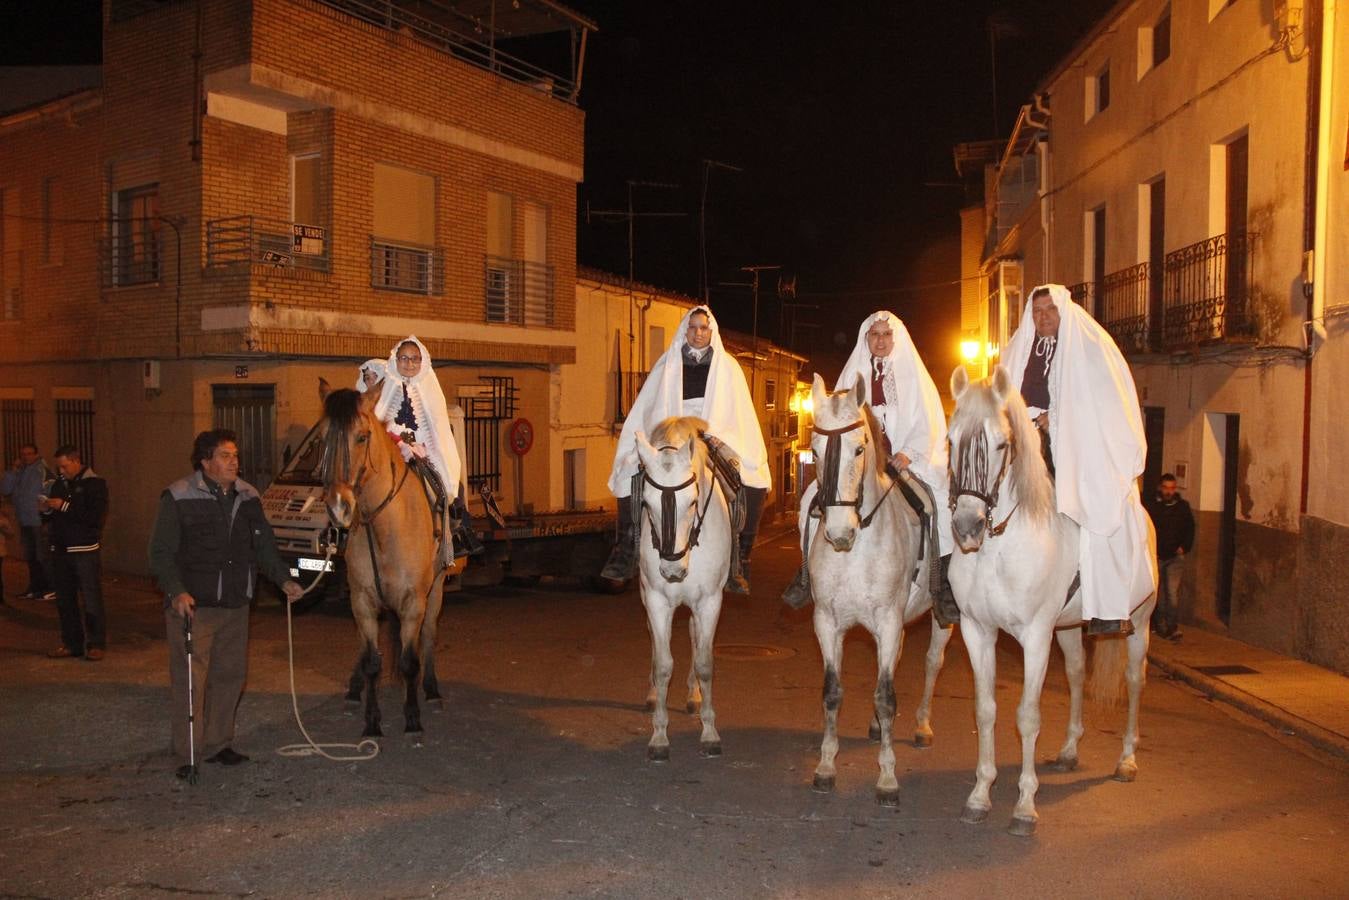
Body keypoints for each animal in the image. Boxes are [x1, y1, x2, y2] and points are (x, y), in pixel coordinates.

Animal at [319, 383, 447, 734]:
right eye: (322, 439)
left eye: (362, 437)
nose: (338, 507)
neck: (385, 529)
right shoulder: (362, 601)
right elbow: (372, 661)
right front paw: (372, 721)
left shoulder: (414, 601)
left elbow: (409, 661)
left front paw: (413, 718)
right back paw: (354, 689)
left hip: (437, 588)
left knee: (429, 635)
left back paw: (431, 689)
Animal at [634, 418, 733, 766]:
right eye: (646, 503)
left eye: (692, 501)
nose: (672, 570)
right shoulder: (656, 600)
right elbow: (664, 665)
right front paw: (659, 736)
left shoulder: (710, 601)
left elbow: (705, 663)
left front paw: (710, 733)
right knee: (654, 638)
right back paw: (653, 693)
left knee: (692, 634)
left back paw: (693, 695)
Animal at [804, 372, 955, 804]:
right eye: (815, 451)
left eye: (858, 449)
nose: (839, 533)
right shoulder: (828, 622)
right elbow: (832, 691)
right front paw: (826, 766)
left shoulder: (888, 621)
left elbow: (887, 696)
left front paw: (887, 778)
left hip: (938, 620)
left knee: (931, 662)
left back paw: (921, 727)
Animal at [949, 367, 1160, 836]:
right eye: (951, 441)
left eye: (1001, 444)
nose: (967, 527)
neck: (999, 548)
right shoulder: (978, 631)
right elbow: (985, 710)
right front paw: (979, 796)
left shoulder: (1035, 637)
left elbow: (1027, 715)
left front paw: (1025, 807)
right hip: (1067, 628)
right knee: (1079, 673)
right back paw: (1068, 751)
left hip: (1138, 624)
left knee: (1135, 681)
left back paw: (1127, 760)